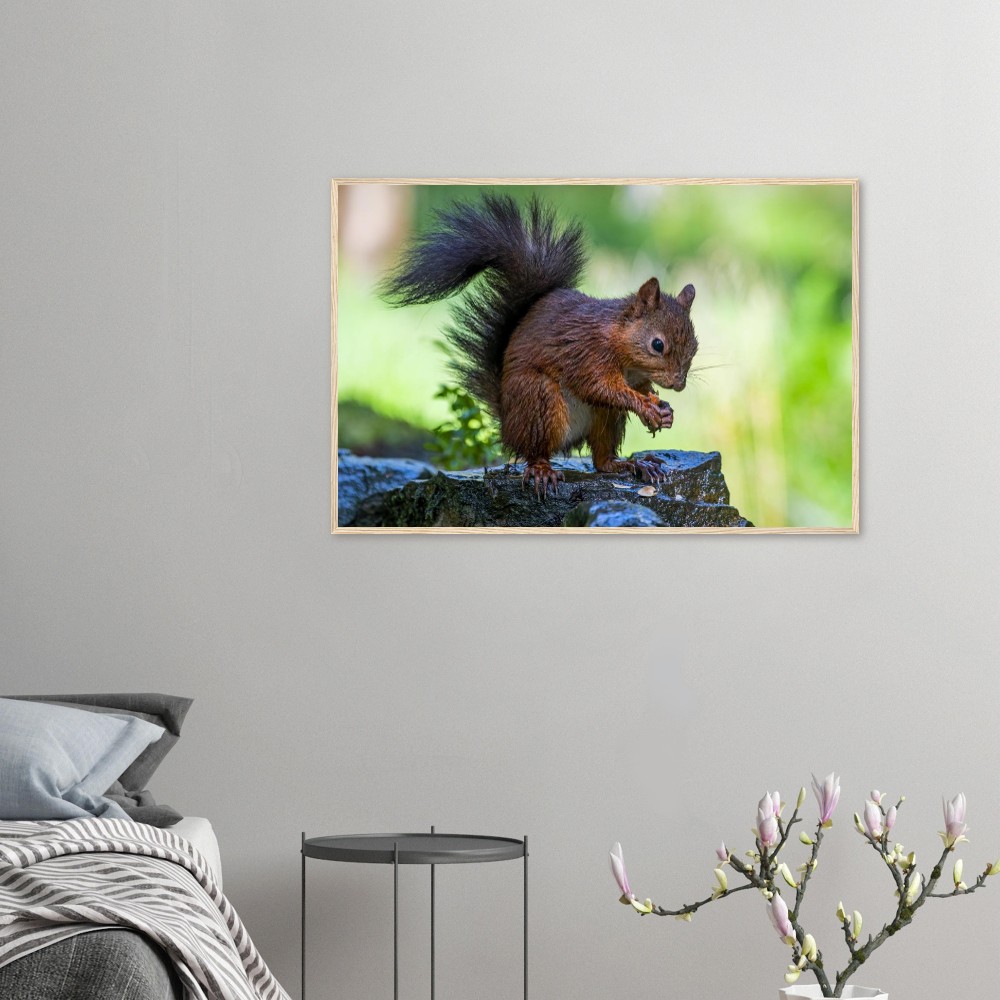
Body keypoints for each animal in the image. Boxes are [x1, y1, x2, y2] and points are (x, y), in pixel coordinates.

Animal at [380, 194, 698, 495]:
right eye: (657, 345)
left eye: (695, 346)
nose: (679, 384)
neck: (623, 348)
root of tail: (508, 424)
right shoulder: (587, 353)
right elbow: (600, 387)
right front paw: (646, 407)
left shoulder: (634, 376)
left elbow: (639, 389)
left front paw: (662, 409)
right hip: (538, 400)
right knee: (535, 451)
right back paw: (543, 470)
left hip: (605, 417)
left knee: (601, 460)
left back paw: (632, 464)